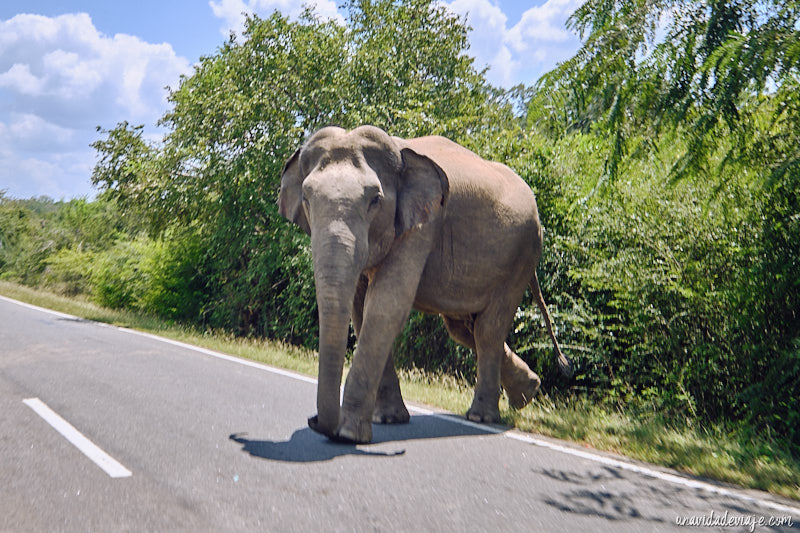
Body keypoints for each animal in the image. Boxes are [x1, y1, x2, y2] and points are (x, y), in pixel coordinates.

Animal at [278, 123, 572, 440]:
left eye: (375, 200)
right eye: (306, 199)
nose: (314, 421)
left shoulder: (424, 224)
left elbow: (385, 306)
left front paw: (348, 434)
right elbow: (360, 310)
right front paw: (389, 420)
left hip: (521, 256)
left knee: (487, 330)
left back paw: (482, 417)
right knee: (465, 330)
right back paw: (527, 392)